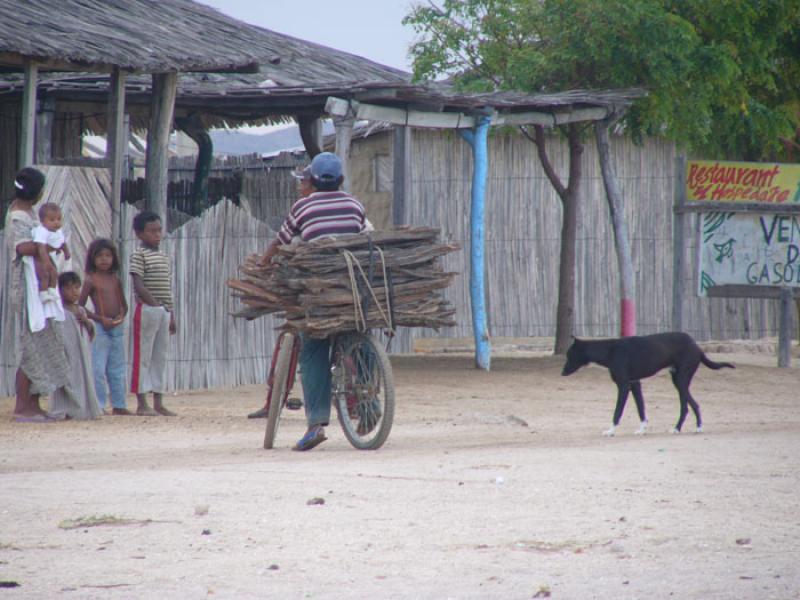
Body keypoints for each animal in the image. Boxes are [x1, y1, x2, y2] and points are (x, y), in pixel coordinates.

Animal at [560, 332, 736, 436]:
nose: (562, 373)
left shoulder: (623, 386)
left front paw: (611, 431)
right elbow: (641, 409)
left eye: (569, 355)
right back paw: (683, 428)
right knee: (689, 406)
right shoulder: (635, 384)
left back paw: (692, 427)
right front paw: (641, 429)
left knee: (691, 405)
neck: (610, 350)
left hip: (681, 380)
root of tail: (697, 347)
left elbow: (617, 412)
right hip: (677, 380)